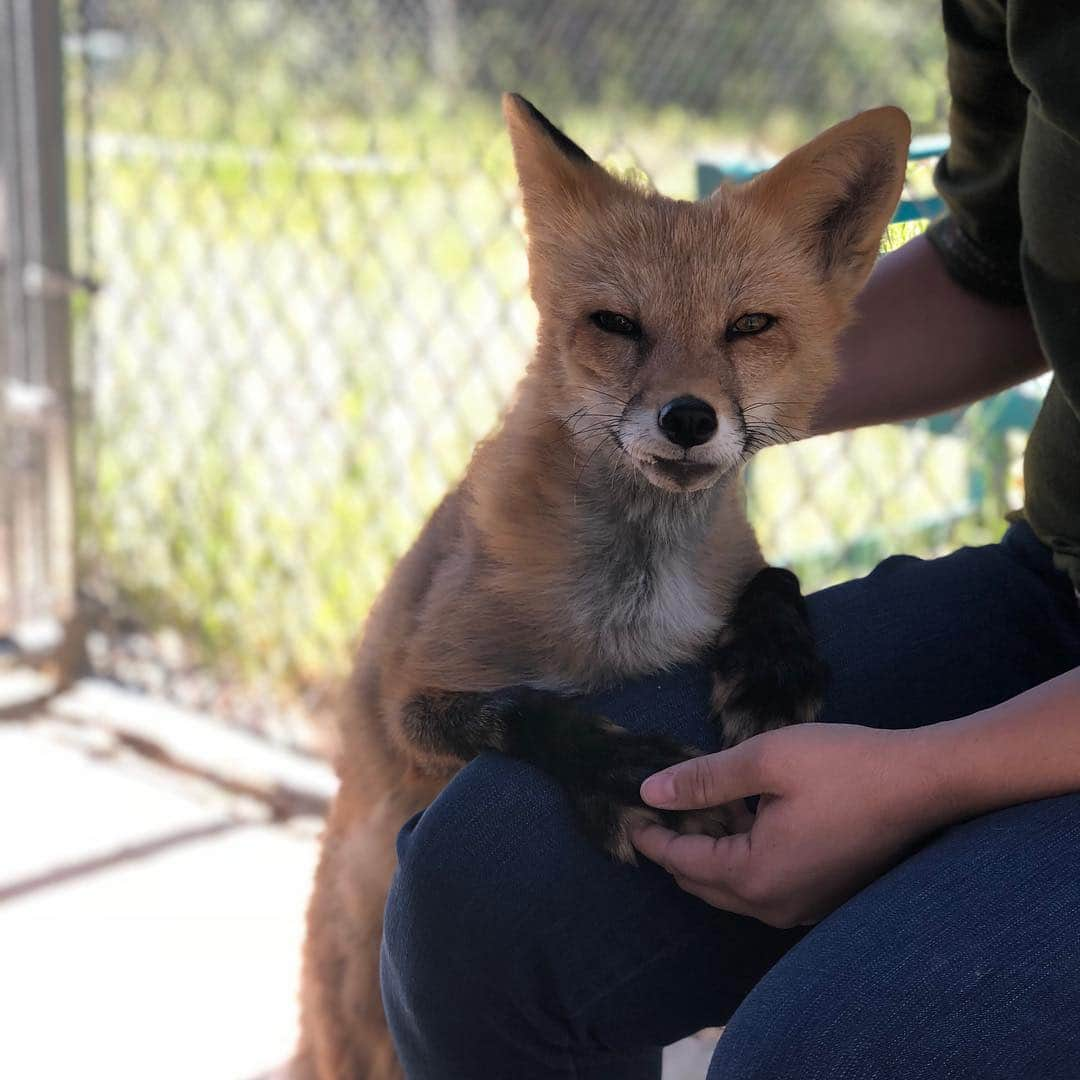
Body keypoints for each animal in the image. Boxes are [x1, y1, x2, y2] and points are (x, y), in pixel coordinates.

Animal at [298, 95, 911, 1080]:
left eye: (750, 327)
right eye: (618, 324)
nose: (689, 418)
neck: (630, 606)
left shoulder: (735, 571)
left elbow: (773, 576)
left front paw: (771, 668)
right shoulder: (411, 703)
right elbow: (520, 709)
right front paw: (621, 774)